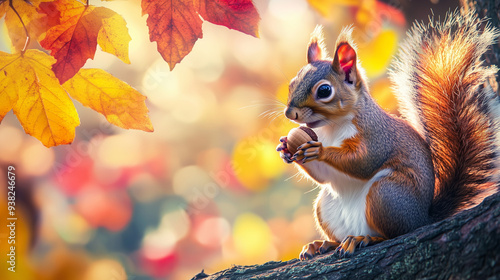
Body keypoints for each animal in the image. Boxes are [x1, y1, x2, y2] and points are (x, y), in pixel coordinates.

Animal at [276, 10, 500, 260]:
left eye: (324, 91)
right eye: (292, 83)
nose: (289, 113)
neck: (331, 128)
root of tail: (422, 218)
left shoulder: (377, 137)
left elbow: (363, 162)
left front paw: (320, 150)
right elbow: (323, 176)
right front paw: (285, 148)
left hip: (387, 195)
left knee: (392, 234)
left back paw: (363, 239)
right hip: (326, 206)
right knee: (340, 236)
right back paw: (323, 244)